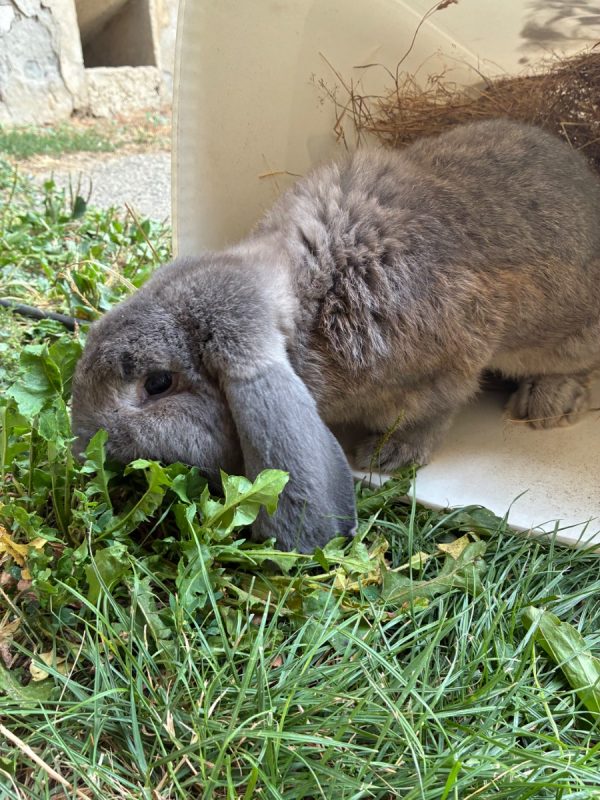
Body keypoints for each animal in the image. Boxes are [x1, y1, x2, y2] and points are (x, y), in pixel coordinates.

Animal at [71, 118, 600, 552]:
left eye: (157, 383)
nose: (81, 447)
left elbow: (436, 412)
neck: (308, 302)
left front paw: (385, 456)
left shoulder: (450, 366)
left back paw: (546, 405)